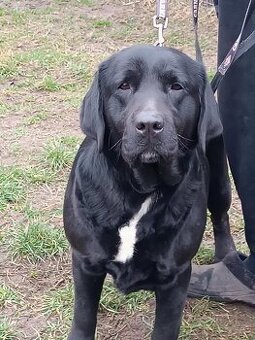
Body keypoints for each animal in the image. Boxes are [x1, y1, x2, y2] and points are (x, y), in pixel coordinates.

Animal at [62, 45, 234, 340]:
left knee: (221, 215)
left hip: (220, 176)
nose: (150, 124)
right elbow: (83, 319)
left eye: (177, 86)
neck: (141, 191)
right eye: (124, 85)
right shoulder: (85, 263)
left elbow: (165, 328)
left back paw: (226, 255)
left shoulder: (175, 277)